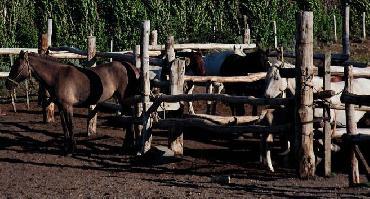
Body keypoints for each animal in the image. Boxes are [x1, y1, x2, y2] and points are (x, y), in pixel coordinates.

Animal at [5, 51, 141, 152]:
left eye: (17, 66)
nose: (7, 84)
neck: (57, 76)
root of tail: (131, 67)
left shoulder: (68, 106)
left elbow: (71, 125)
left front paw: (73, 148)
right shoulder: (60, 106)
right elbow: (64, 126)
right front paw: (66, 146)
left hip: (125, 100)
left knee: (130, 119)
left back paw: (128, 146)